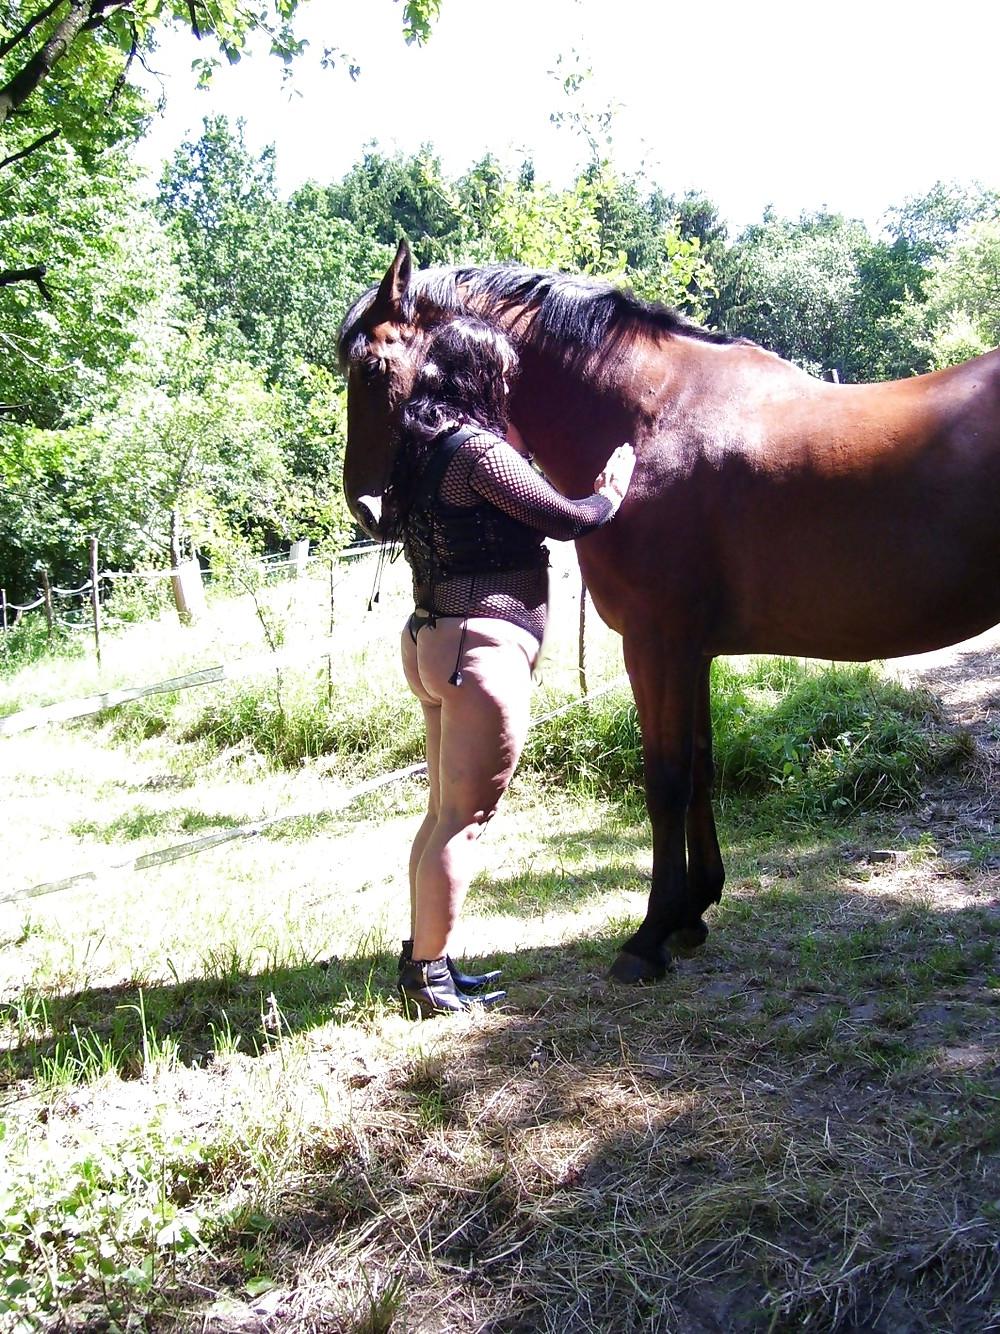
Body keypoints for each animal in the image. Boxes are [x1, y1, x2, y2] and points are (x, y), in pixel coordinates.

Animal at [338, 239, 1000, 984]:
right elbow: (702, 765)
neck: (654, 416)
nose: (366, 506)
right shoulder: (693, 650)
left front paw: (649, 935)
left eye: (370, 367)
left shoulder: (655, 644)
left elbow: (666, 781)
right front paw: (695, 911)